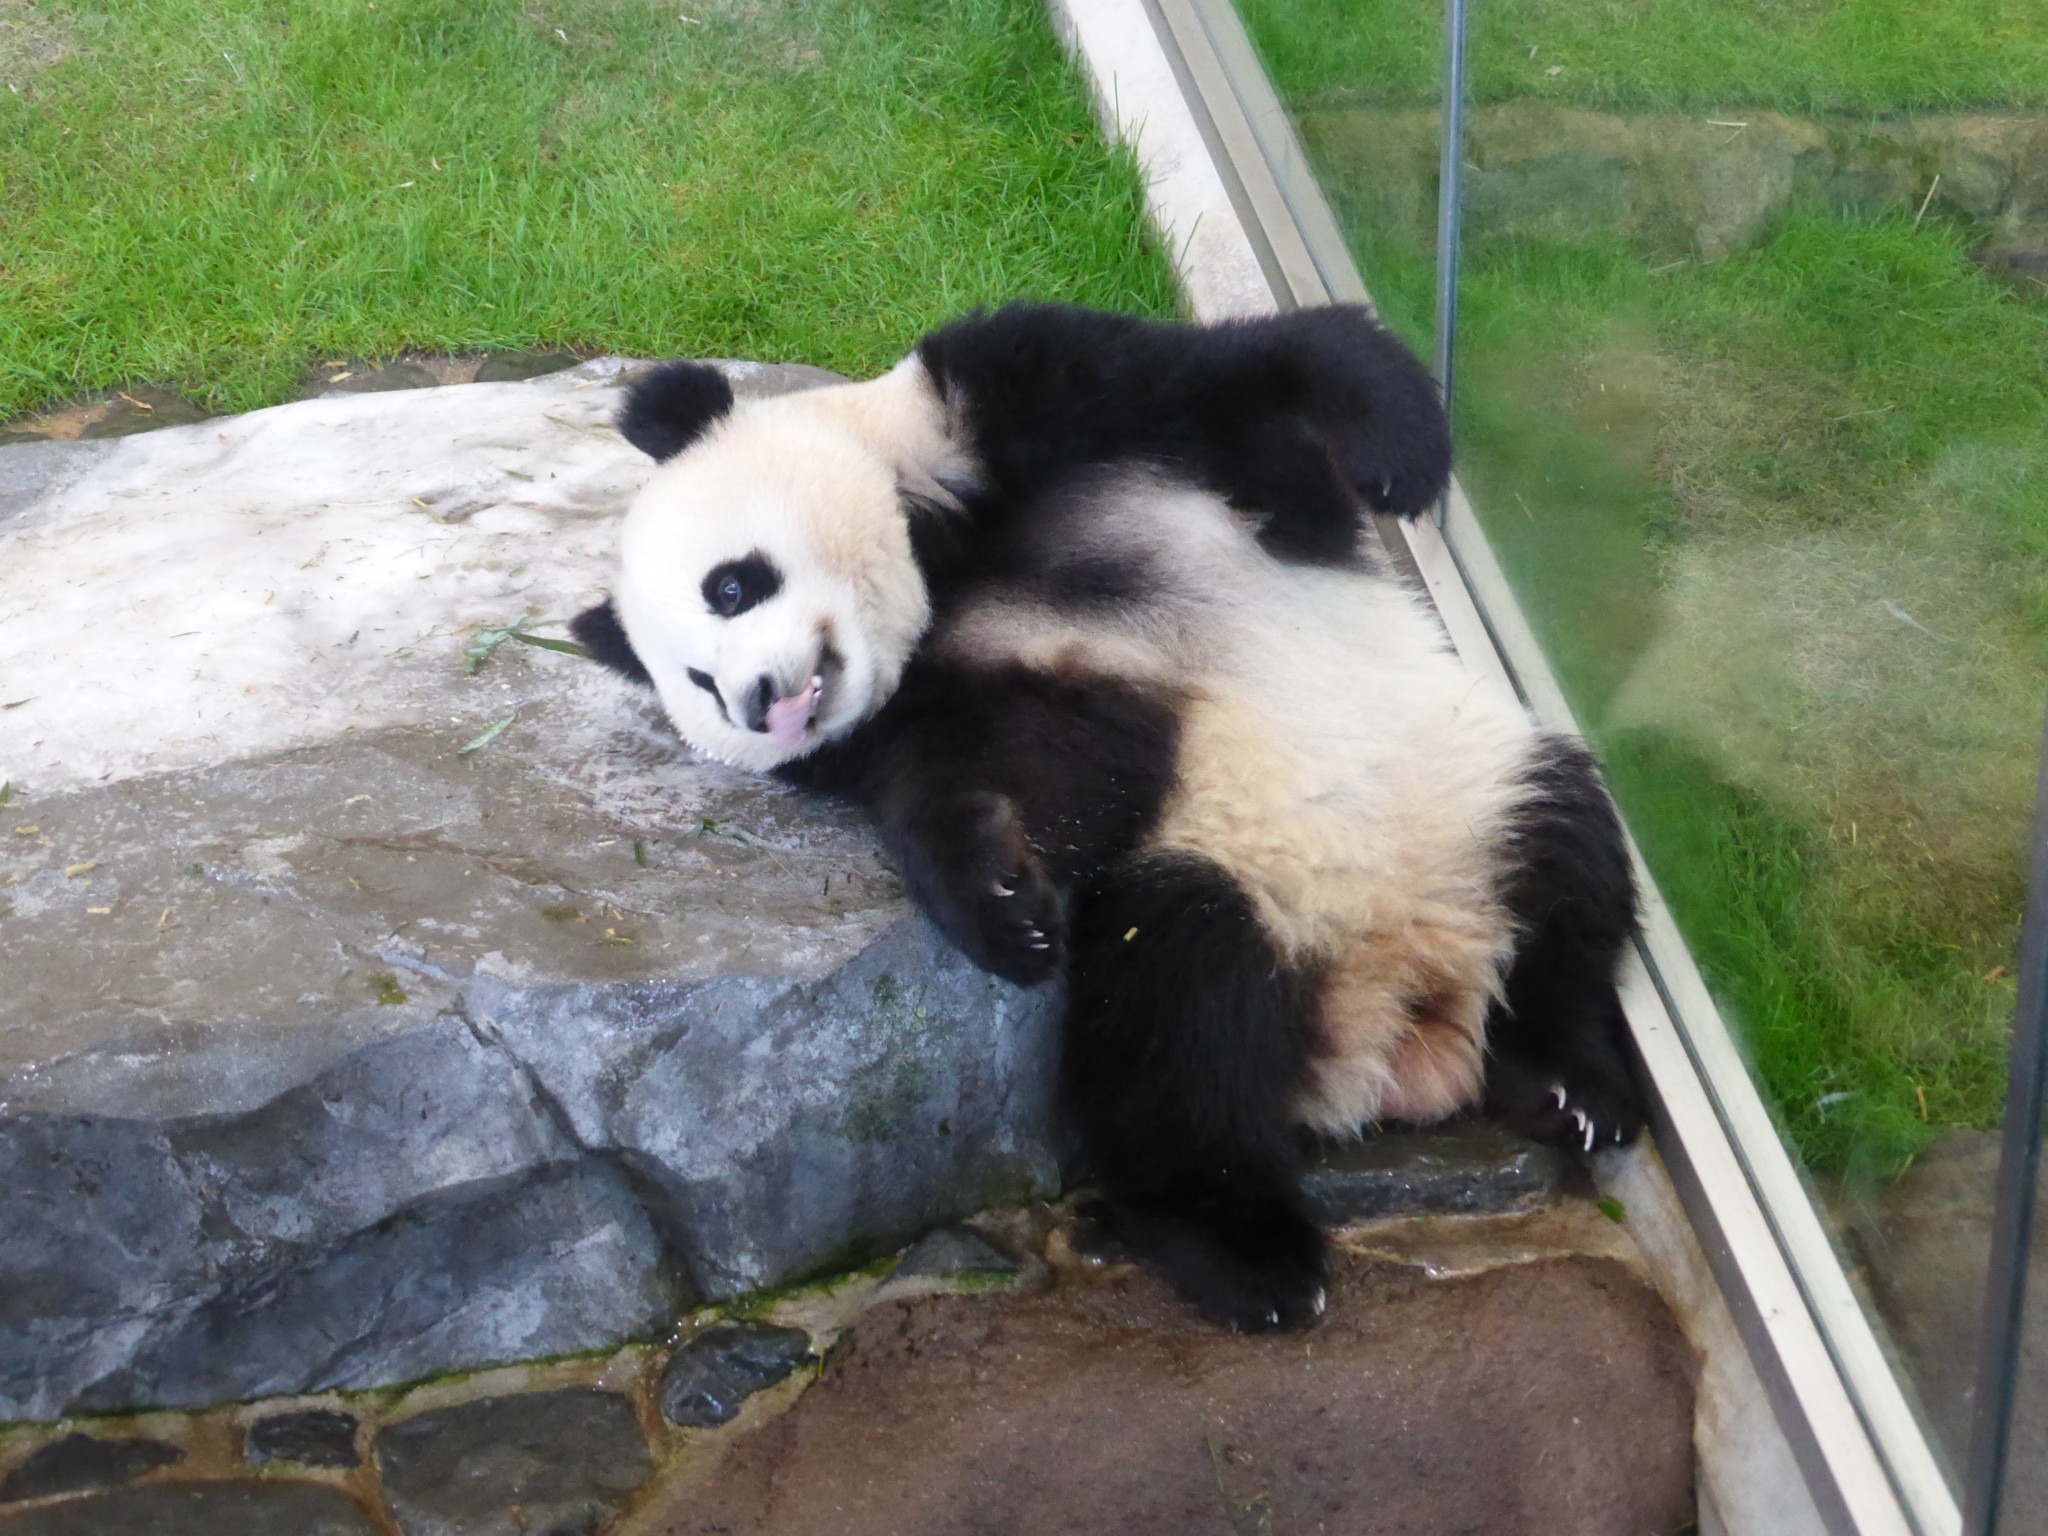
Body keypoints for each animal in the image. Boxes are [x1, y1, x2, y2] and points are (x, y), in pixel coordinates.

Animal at [572, 303, 1643, 1331]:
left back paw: (1574, 1084)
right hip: (1227, 874)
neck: (942, 570)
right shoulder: (950, 706)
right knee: (1178, 1017)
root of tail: (1392, 1018)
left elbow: (1251, 377)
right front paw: (1007, 908)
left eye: (730, 584)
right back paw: (1248, 1253)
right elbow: (995, 782)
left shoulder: (1031, 406)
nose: (762, 705)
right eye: (695, 683)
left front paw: (1404, 457)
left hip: (1463, 789)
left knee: (1568, 864)